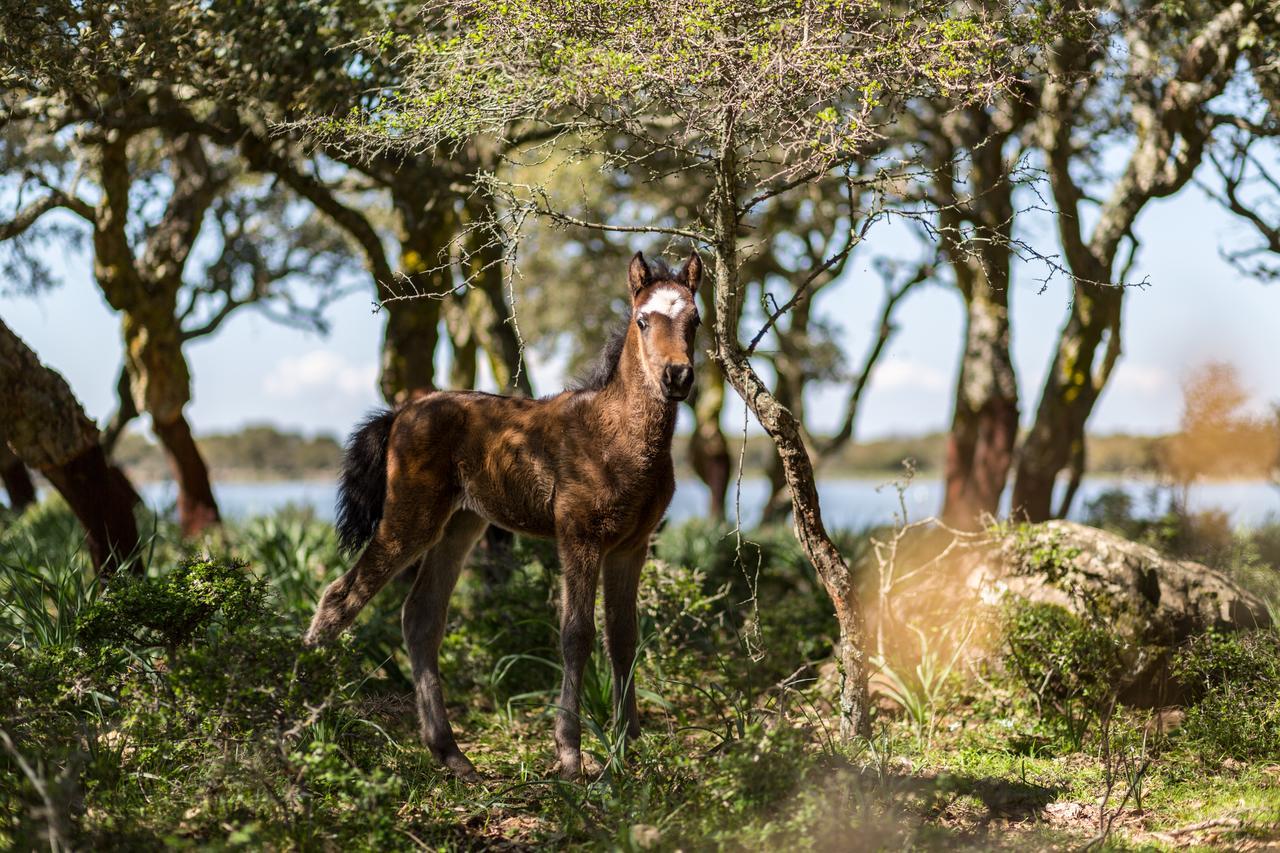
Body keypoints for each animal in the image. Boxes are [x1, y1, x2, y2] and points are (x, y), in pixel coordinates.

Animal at [304, 247, 706, 778]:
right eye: (642, 320)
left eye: (695, 320)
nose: (676, 376)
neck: (616, 432)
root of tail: (400, 413)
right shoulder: (578, 535)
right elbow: (576, 633)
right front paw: (570, 754)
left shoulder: (632, 545)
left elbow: (624, 636)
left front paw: (629, 746)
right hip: (410, 518)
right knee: (340, 597)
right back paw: (305, 720)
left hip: (460, 524)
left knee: (421, 617)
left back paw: (451, 754)